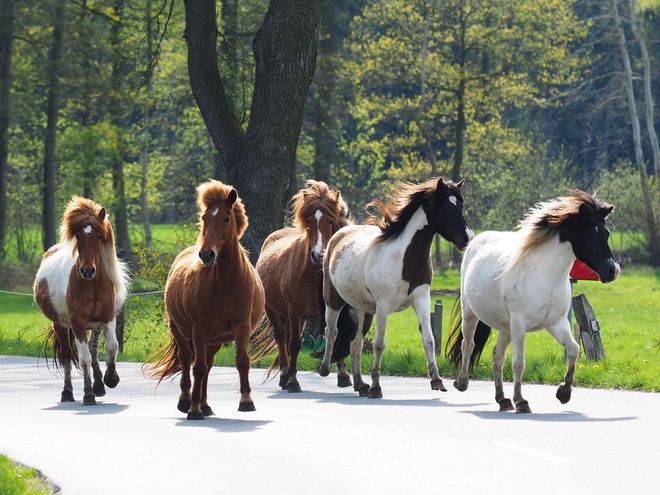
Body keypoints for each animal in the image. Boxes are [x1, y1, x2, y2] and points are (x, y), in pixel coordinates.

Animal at [33, 198, 130, 406]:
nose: (87, 270)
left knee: (93, 350)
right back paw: (67, 393)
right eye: (78, 236)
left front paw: (111, 379)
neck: (91, 284)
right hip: (61, 325)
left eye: (100, 237)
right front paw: (88, 394)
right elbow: (83, 357)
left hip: (95, 325)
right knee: (67, 356)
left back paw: (99, 385)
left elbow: (112, 346)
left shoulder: (108, 317)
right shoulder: (77, 323)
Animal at [145, 180, 266, 420]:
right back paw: (187, 401)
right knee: (187, 360)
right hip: (181, 331)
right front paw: (193, 409)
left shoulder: (242, 327)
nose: (207, 254)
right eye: (204, 218)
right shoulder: (199, 329)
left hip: (215, 340)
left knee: (208, 365)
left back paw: (205, 404)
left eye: (226, 218)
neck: (225, 285)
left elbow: (242, 361)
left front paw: (246, 401)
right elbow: (197, 368)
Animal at [255, 180, 354, 394]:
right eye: (309, 221)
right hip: (273, 311)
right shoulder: (294, 313)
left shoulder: (333, 308)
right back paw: (285, 376)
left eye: (331, 221)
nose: (318, 255)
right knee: (282, 338)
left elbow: (336, 335)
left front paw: (343, 375)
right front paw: (293, 382)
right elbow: (294, 344)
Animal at [318, 178, 472, 400]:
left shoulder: (421, 300)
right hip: (334, 301)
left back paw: (360, 384)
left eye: (460, 205)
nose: (468, 239)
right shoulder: (383, 306)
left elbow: (429, 339)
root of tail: (337, 236)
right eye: (444, 207)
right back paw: (326, 370)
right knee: (331, 331)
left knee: (355, 343)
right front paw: (376, 387)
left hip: (365, 309)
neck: (404, 260)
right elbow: (379, 344)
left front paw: (437, 381)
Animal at [446, 191, 620, 414]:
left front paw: (564, 393)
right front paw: (521, 401)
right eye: (589, 235)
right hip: (471, 315)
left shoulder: (556, 324)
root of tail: (476, 241)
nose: (612, 270)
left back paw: (502, 400)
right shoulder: (520, 324)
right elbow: (519, 363)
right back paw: (462, 383)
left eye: (606, 234)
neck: (547, 277)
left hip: (506, 327)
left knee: (497, 356)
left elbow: (574, 350)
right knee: (468, 345)